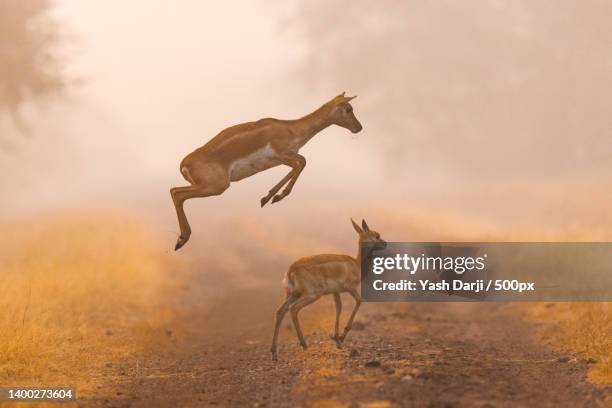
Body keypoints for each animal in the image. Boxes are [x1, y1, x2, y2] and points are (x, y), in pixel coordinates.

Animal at [170, 93, 360, 250]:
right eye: (348, 108)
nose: (359, 127)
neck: (291, 128)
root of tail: (184, 163)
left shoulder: (282, 159)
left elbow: (299, 164)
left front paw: (268, 198)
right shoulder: (282, 155)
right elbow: (303, 162)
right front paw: (275, 197)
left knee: (174, 191)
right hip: (216, 186)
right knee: (177, 193)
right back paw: (181, 240)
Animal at [270, 220, 384, 360]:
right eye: (377, 235)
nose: (385, 243)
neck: (357, 264)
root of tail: (292, 269)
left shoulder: (336, 292)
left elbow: (338, 308)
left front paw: (338, 340)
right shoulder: (350, 288)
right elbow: (359, 301)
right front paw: (342, 336)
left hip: (292, 294)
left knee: (281, 311)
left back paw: (274, 353)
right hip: (312, 295)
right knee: (293, 309)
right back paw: (304, 345)